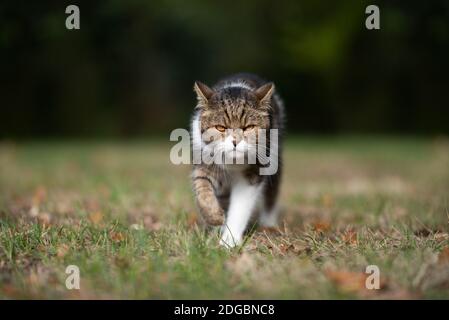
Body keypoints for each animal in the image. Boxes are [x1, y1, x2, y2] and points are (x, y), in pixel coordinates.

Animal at [189, 73, 284, 248]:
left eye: (248, 127)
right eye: (221, 128)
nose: (235, 142)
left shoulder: (253, 174)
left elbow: (240, 207)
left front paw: (229, 241)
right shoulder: (204, 162)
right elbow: (202, 190)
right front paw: (215, 218)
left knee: (271, 195)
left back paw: (269, 224)